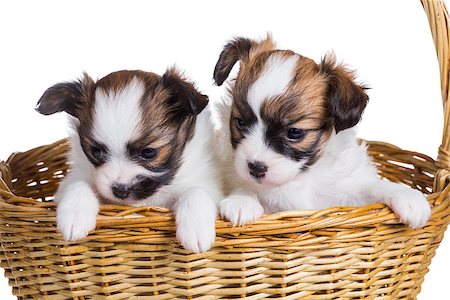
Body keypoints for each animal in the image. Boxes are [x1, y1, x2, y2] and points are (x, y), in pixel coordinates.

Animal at [37, 68, 221, 253]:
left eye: (148, 152)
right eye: (96, 152)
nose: (120, 190)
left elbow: (196, 191)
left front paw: (196, 229)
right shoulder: (73, 179)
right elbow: (78, 184)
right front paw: (75, 216)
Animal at [214, 35, 432, 227]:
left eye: (294, 132)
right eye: (241, 123)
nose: (256, 168)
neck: (300, 177)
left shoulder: (345, 192)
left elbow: (370, 186)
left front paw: (407, 196)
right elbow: (241, 187)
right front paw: (242, 201)